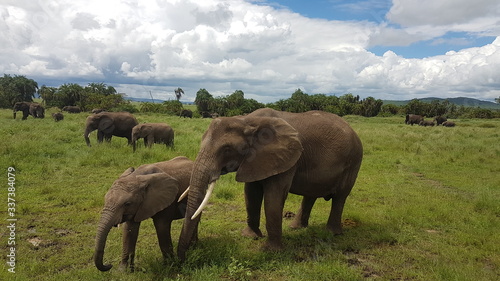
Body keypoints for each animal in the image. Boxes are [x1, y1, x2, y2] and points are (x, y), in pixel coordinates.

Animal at [177, 107, 364, 260]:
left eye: (227, 149)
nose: (184, 256)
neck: (246, 120)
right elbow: (251, 194)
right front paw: (250, 237)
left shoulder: (286, 158)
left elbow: (274, 196)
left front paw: (271, 251)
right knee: (310, 195)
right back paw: (296, 228)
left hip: (354, 161)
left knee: (340, 197)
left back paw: (333, 233)